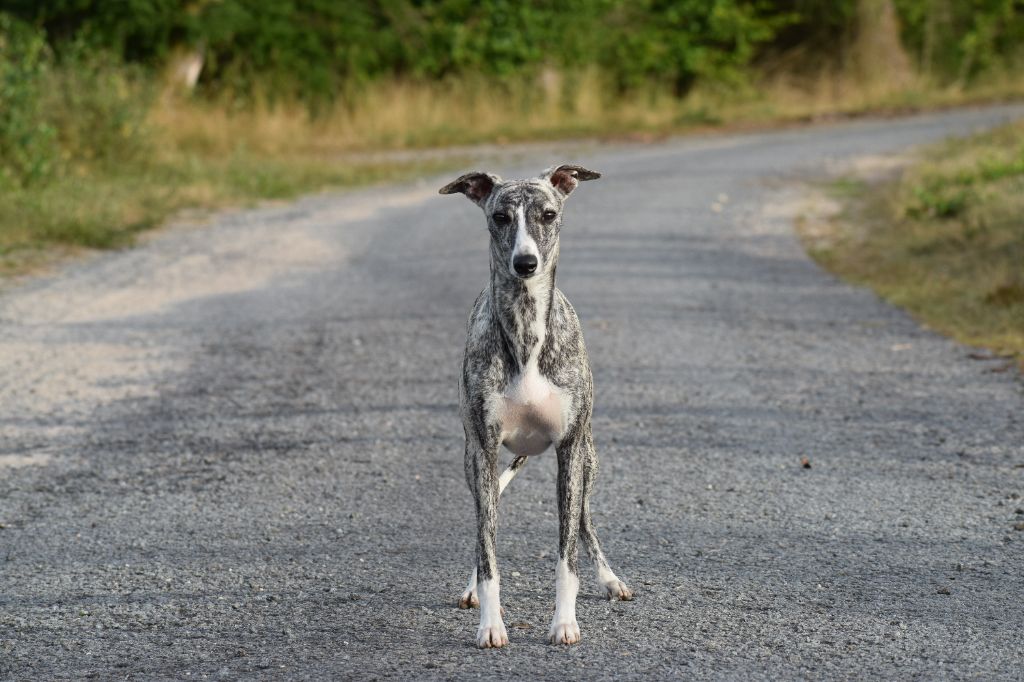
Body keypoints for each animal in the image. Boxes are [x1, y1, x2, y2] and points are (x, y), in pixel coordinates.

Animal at [440, 161, 630, 647]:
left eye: (548, 214)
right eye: (500, 217)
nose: (525, 264)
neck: (526, 329)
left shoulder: (570, 451)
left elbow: (567, 555)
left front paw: (564, 622)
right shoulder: (483, 451)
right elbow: (488, 553)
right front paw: (490, 624)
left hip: (588, 462)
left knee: (584, 523)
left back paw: (610, 578)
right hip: (476, 467)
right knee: (484, 526)